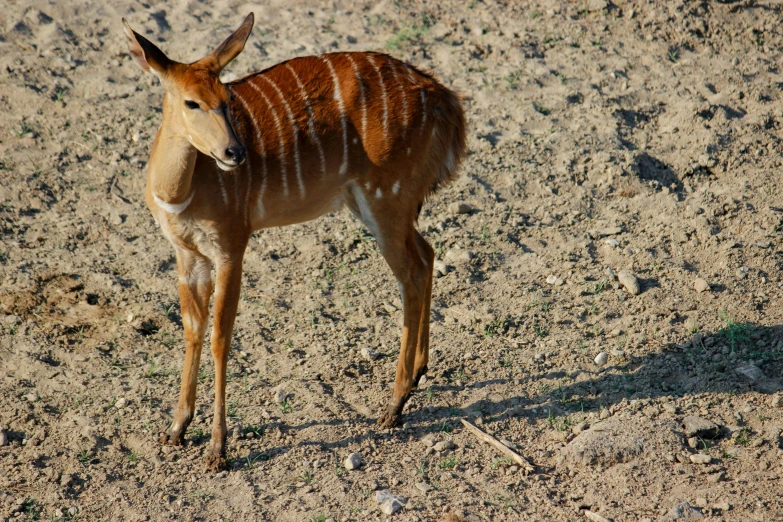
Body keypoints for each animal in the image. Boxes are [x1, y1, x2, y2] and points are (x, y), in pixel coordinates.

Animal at [122, 13, 466, 468]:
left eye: (228, 98)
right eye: (191, 102)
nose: (235, 153)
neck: (181, 192)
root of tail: (445, 99)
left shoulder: (232, 246)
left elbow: (220, 339)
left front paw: (217, 450)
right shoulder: (187, 254)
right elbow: (192, 330)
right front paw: (176, 430)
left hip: (386, 200)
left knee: (410, 273)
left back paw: (393, 407)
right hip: (375, 204)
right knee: (426, 255)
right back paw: (417, 378)